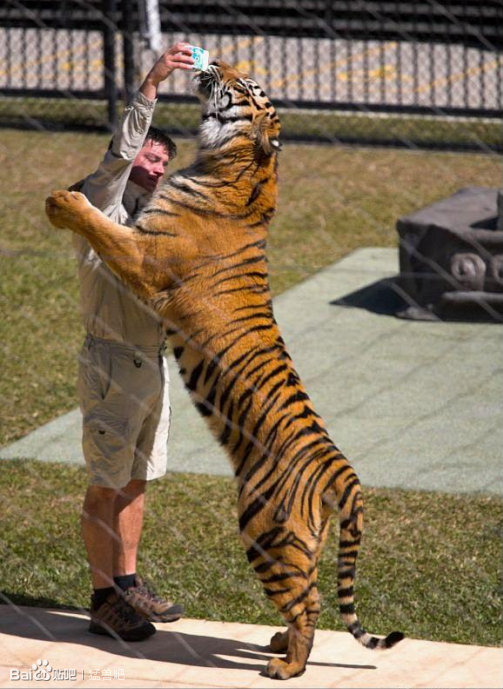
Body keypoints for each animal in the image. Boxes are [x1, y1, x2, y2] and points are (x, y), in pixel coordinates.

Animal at [45, 61, 404, 680]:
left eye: (247, 86)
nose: (215, 63)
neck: (232, 166)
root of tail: (343, 471)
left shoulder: (142, 256)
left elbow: (102, 225)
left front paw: (62, 202)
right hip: (305, 540)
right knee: (309, 597)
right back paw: (281, 643)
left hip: (265, 532)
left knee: (308, 602)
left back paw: (286, 665)